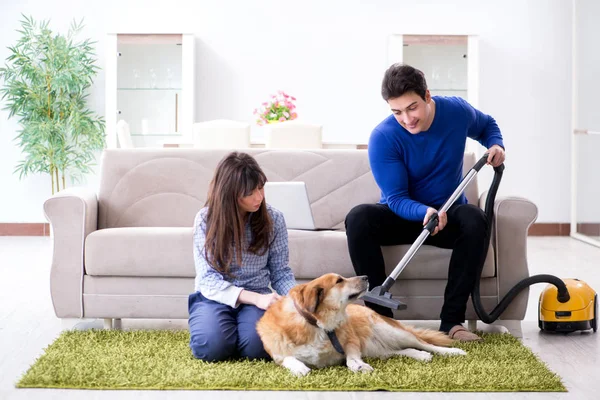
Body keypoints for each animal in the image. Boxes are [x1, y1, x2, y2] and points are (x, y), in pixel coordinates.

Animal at [255, 274, 466, 376]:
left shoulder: (352, 342)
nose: (365, 277)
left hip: (390, 331)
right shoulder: (278, 354)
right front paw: (299, 368)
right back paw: (420, 355)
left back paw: (453, 352)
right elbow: (289, 359)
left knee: (424, 343)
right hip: (377, 349)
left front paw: (358, 365)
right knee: (399, 350)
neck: (317, 325)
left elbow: (351, 357)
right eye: (339, 280)